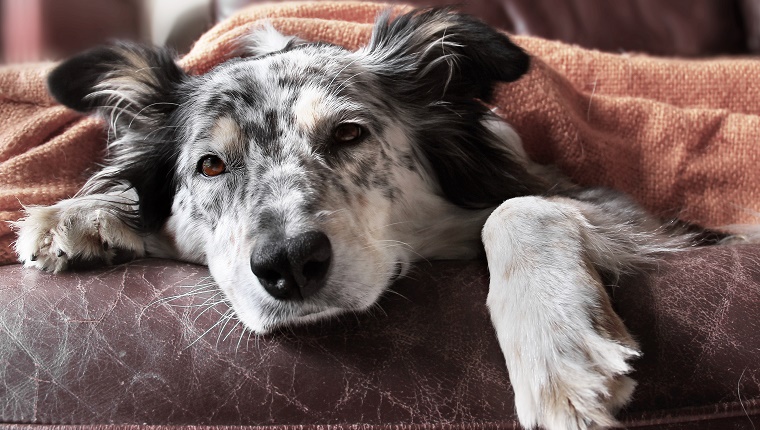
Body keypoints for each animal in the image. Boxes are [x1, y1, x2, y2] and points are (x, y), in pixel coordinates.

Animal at [11, 7, 716, 430]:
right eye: (210, 166)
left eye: (348, 134)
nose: (290, 265)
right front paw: (81, 214)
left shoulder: (620, 210)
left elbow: (517, 207)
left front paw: (557, 350)